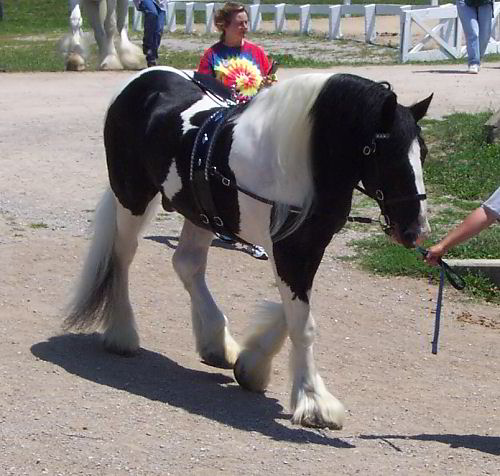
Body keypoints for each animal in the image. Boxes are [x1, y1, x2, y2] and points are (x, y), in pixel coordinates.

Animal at [65, 68, 434, 432]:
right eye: (386, 154)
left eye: (424, 153)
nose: (415, 231)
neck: (298, 162)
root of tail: (141, 80)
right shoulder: (289, 251)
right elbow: (303, 324)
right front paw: (313, 401)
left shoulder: (307, 249)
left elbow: (295, 312)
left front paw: (252, 366)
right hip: (133, 197)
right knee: (122, 258)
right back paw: (122, 334)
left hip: (201, 213)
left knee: (187, 264)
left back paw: (217, 343)